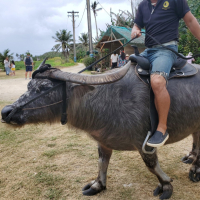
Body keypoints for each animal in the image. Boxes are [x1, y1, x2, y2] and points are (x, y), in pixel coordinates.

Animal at [0, 61, 199, 200]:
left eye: (44, 88)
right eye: (28, 86)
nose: (6, 111)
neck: (108, 101)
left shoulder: (144, 142)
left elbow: (151, 166)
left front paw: (166, 185)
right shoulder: (103, 140)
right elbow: (102, 162)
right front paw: (97, 185)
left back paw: (195, 171)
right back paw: (191, 158)